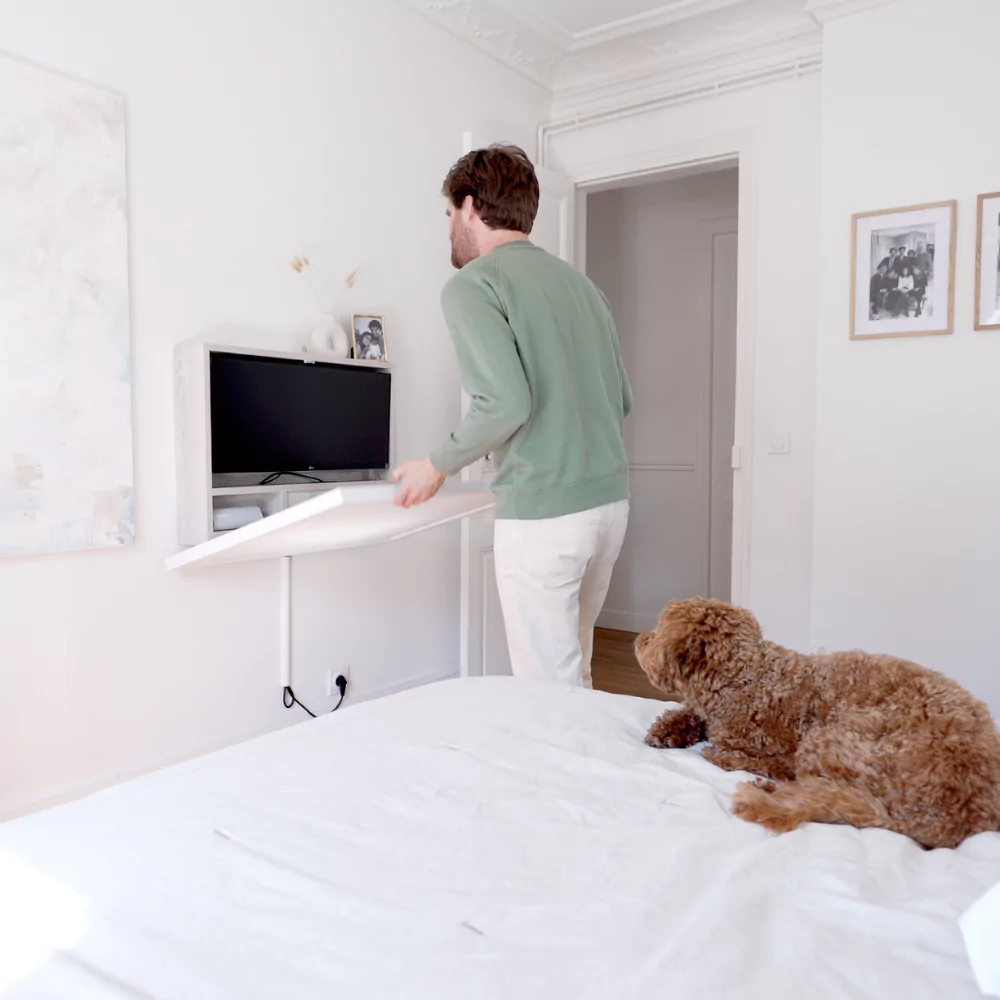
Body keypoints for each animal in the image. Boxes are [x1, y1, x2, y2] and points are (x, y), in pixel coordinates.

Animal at [636, 596, 996, 848]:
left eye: (655, 632)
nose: (639, 638)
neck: (746, 676)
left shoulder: (769, 745)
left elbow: (740, 754)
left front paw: (716, 750)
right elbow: (690, 714)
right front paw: (668, 730)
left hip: (830, 740)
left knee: (812, 788)